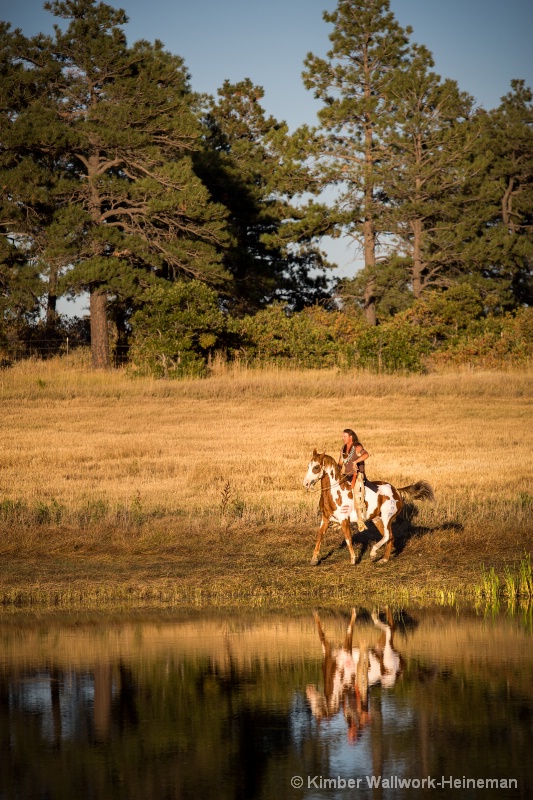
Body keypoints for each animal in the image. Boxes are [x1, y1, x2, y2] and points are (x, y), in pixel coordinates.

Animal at [302, 446, 434, 564]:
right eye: (308, 466)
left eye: (316, 467)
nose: (306, 484)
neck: (334, 492)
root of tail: (396, 490)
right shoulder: (325, 519)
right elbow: (319, 536)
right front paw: (314, 559)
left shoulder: (344, 519)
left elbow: (348, 538)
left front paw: (353, 559)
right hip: (377, 519)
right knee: (390, 537)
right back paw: (384, 559)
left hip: (387, 517)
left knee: (387, 536)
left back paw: (373, 553)